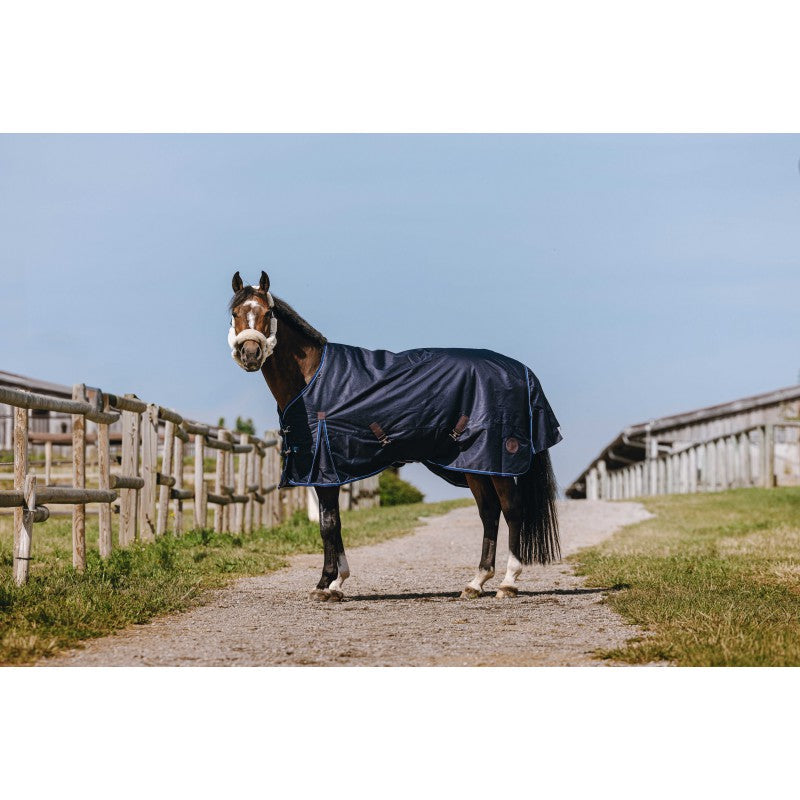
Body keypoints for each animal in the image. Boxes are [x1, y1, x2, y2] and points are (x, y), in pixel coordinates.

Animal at [227, 270, 561, 602]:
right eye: (235, 312)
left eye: (267, 313)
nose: (250, 354)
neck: (312, 379)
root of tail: (522, 372)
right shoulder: (328, 472)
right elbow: (332, 523)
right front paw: (335, 583)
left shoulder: (325, 469)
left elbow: (328, 524)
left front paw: (326, 585)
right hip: (475, 465)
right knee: (489, 513)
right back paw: (476, 583)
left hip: (496, 461)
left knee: (512, 510)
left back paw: (508, 582)